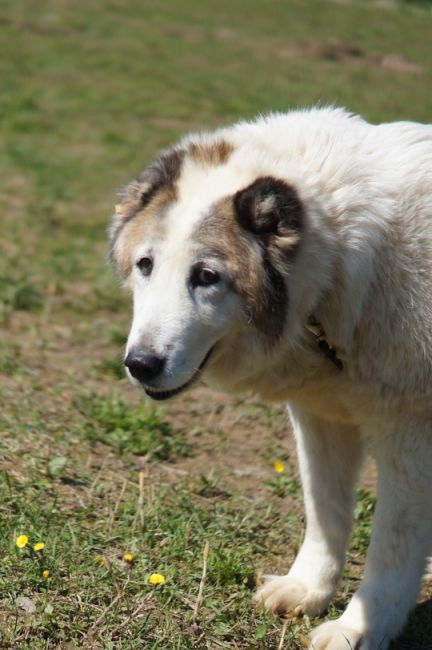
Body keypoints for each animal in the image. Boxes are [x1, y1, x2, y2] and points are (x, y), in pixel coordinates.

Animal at [109, 107, 432, 648]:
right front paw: (308, 591)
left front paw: (357, 630)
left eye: (207, 276)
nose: (140, 364)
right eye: (145, 265)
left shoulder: (410, 436)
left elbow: (392, 549)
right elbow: (326, 513)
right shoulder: (322, 418)